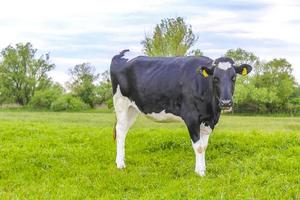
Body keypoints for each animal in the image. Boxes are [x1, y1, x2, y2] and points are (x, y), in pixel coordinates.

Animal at [109, 49, 251, 176]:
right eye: (215, 78)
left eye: (234, 77)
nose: (226, 102)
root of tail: (123, 52)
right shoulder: (191, 117)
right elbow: (198, 147)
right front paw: (199, 172)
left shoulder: (208, 120)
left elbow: (204, 146)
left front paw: (203, 169)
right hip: (121, 103)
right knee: (120, 131)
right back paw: (120, 164)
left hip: (132, 109)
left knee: (124, 131)